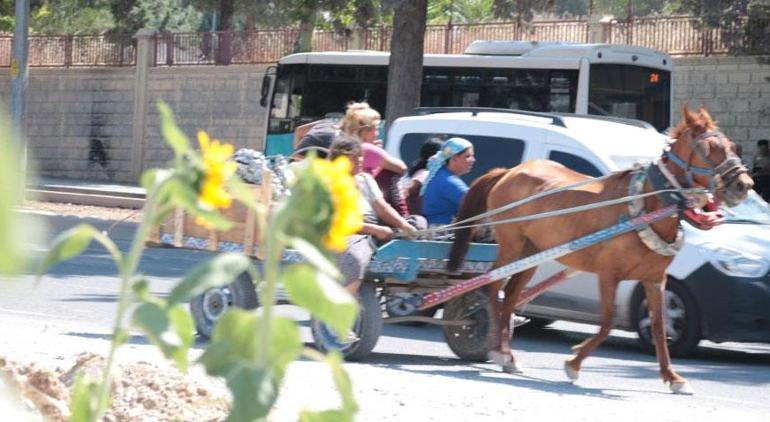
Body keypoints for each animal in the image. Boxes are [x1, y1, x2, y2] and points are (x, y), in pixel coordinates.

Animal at [444, 104, 752, 392]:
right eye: (709, 148)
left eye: (731, 145)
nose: (744, 185)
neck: (646, 205)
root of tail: (510, 171)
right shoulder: (608, 275)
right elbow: (606, 323)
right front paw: (574, 363)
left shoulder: (655, 280)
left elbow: (658, 327)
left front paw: (673, 377)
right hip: (511, 246)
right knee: (492, 287)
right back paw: (494, 345)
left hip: (531, 254)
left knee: (509, 296)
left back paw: (507, 355)